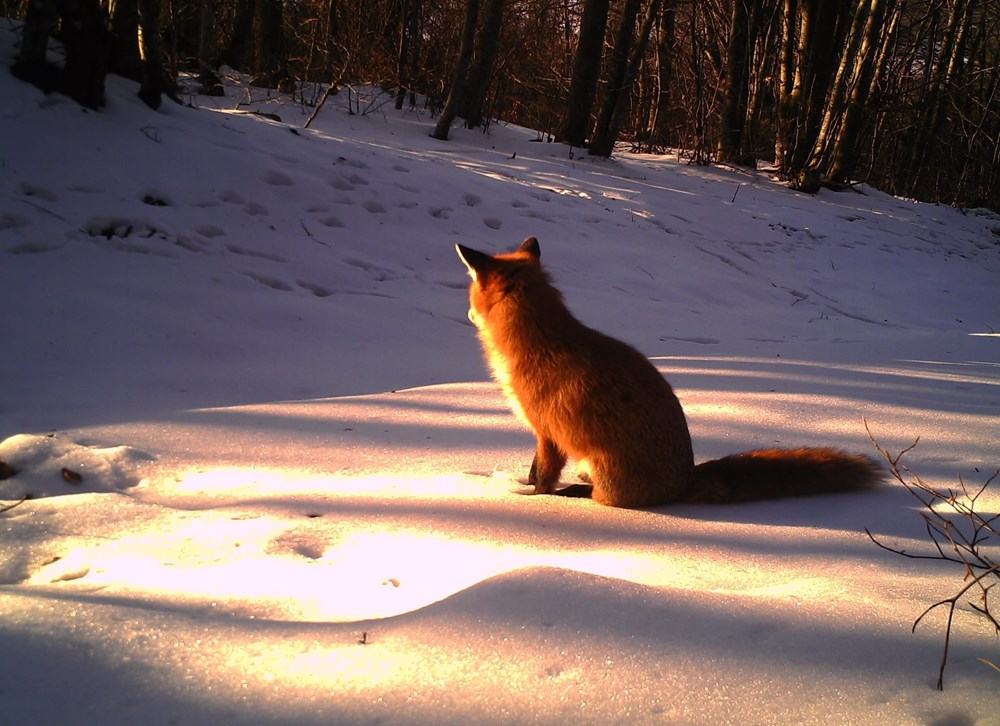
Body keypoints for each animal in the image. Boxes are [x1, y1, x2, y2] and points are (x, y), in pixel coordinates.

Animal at [456, 236, 884, 510]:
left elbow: (542, 478)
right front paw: (515, 487)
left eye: (470, 296)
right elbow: (531, 473)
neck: (539, 344)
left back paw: (574, 496)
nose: (469, 315)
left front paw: (531, 499)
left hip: (605, 472)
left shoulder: (548, 432)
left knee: (600, 498)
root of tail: (685, 479)